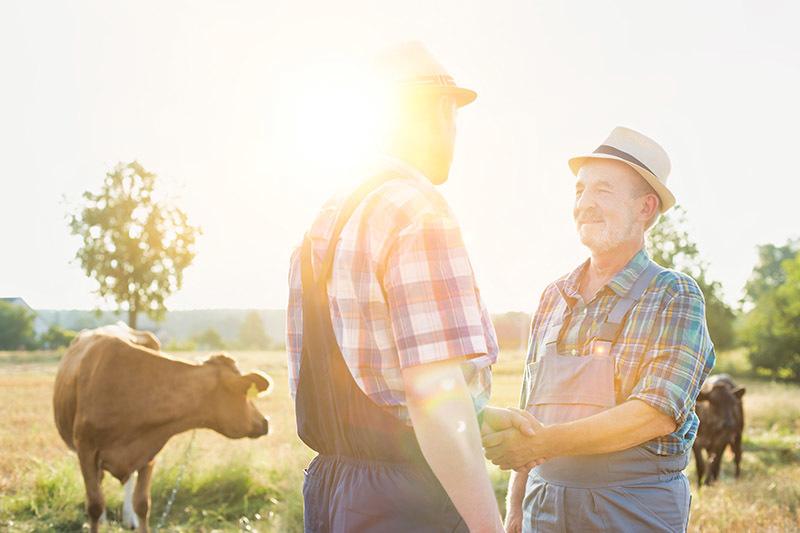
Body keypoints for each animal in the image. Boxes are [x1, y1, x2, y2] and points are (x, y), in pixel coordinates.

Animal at [54, 322, 272, 528]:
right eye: (245, 393)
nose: (265, 421)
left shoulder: (148, 449)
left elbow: (142, 505)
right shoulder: (86, 451)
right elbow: (95, 505)